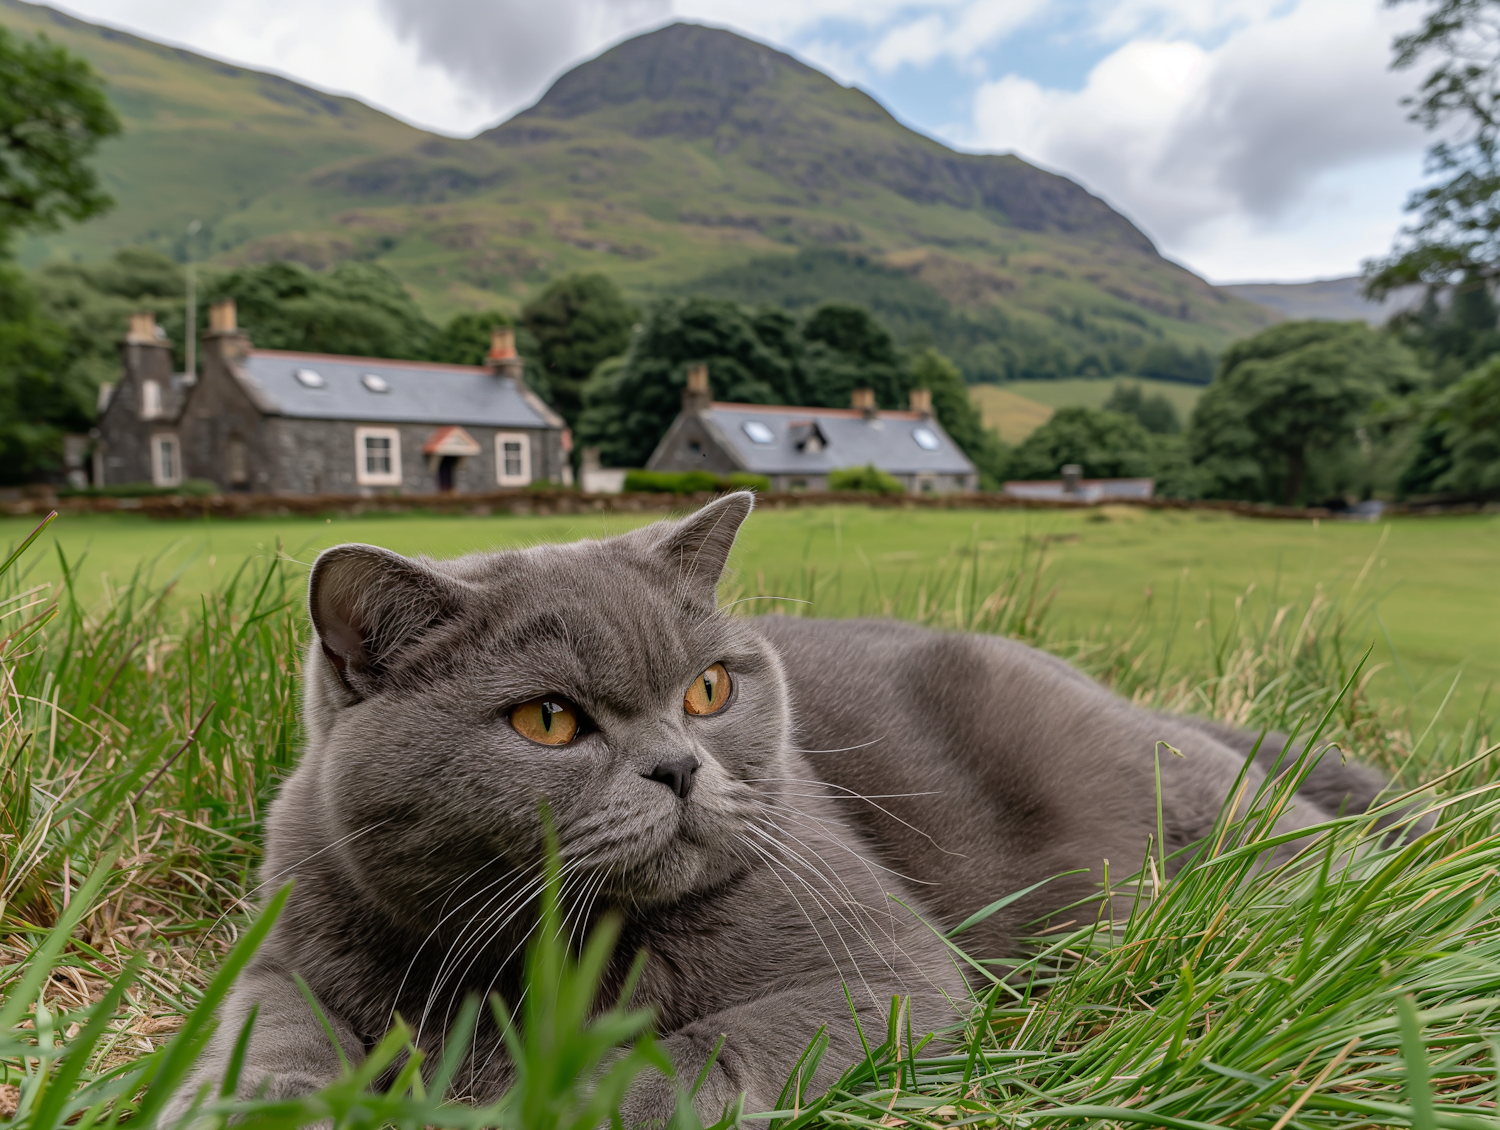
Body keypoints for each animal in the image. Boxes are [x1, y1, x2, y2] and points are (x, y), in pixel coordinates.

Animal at [167, 492, 1404, 1128]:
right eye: (549, 720)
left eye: (709, 690)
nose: (679, 768)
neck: (550, 953)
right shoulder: (288, 936)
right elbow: (263, 1031)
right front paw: (253, 1105)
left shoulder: (881, 969)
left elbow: (682, 1052)